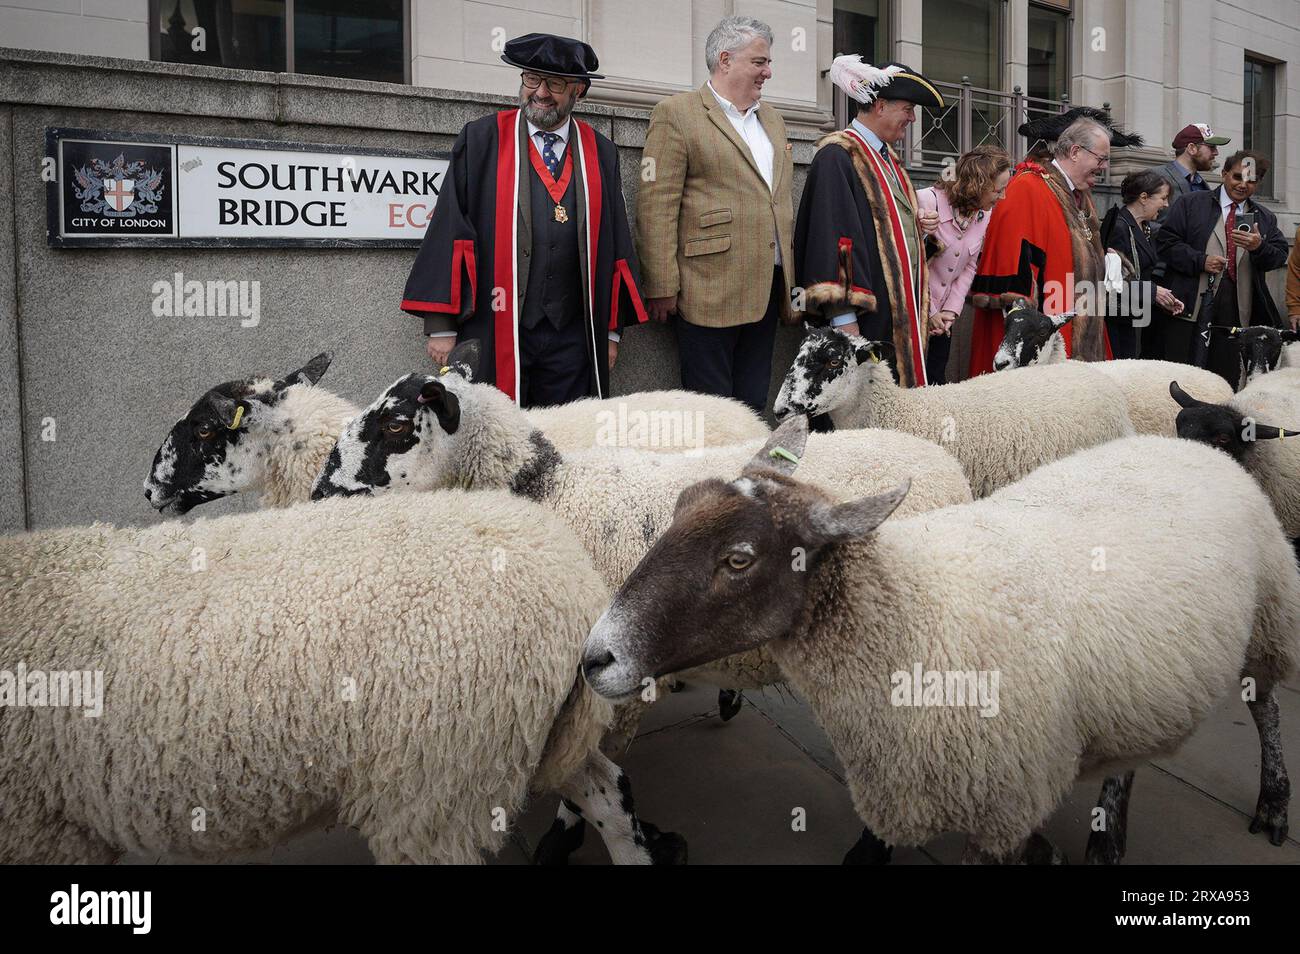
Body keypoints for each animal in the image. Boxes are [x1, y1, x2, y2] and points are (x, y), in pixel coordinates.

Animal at [585, 421, 1300, 868]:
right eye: (677, 510)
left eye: (738, 559)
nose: (595, 657)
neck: (911, 613)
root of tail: (1188, 447)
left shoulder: (1002, 802)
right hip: (1137, 682)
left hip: (1269, 619)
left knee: (1265, 706)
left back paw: (1271, 803)